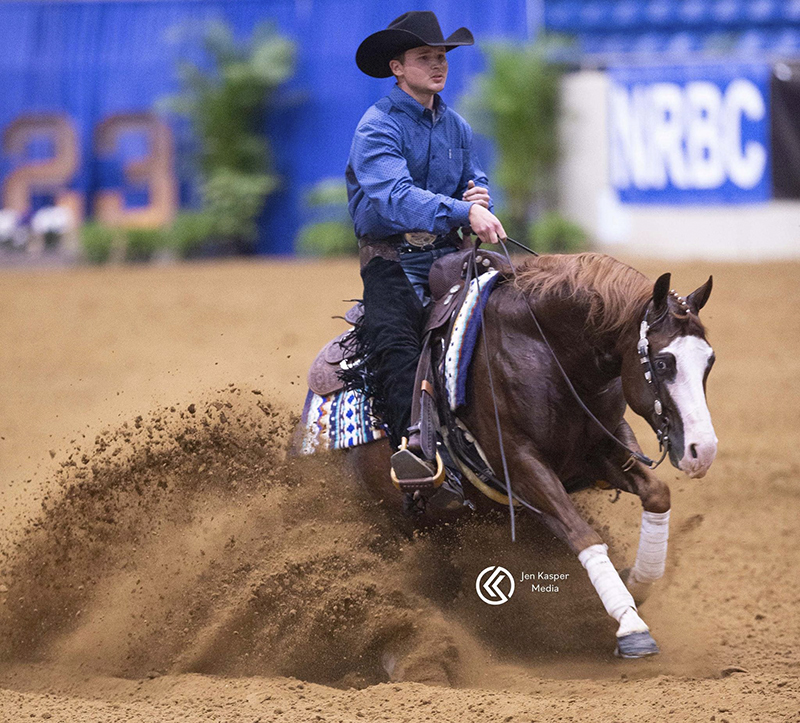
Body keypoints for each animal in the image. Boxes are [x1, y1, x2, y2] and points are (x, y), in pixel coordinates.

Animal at [346, 252, 716, 660]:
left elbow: (657, 494)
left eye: (710, 361)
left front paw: (635, 582)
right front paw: (630, 625)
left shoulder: (600, 450)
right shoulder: (519, 463)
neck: (547, 352)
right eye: (663, 362)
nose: (703, 451)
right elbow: (581, 534)